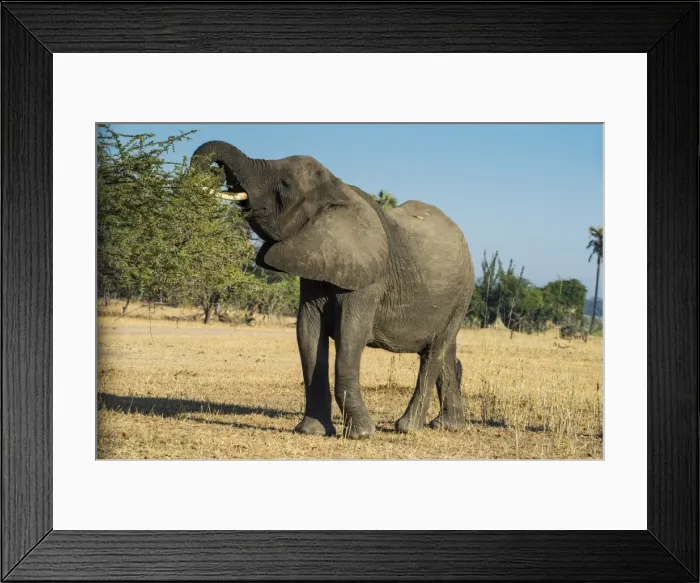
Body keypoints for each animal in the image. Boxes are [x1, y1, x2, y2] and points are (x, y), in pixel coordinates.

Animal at [190, 140, 475, 439]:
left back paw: (407, 428)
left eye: (285, 184)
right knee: (446, 353)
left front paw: (362, 434)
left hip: (462, 295)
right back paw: (447, 425)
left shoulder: (368, 281)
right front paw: (311, 431)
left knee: (434, 353)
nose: (214, 174)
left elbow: (350, 336)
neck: (337, 189)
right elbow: (307, 333)